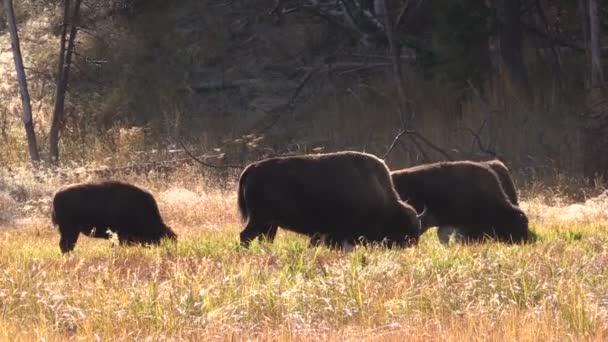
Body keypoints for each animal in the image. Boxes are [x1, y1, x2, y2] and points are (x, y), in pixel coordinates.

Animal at [235, 151, 426, 250]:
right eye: (406, 230)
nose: (413, 245)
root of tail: (251, 168)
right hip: (259, 220)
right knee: (245, 236)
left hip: (270, 224)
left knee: (263, 239)